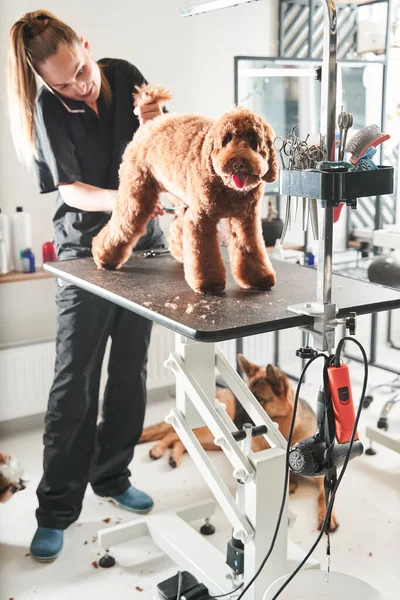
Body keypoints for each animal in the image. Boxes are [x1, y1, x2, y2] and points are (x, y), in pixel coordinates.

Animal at [91, 83, 278, 294]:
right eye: (226, 139)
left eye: (253, 140)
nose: (238, 163)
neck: (228, 189)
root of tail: (151, 123)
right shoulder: (201, 218)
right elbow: (204, 254)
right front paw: (208, 284)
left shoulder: (246, 220)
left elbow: (250, 247)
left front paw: (257, 278)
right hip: (136, 194)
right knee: (122, 225)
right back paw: (103, 257)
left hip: (178, 197)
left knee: (178, 226)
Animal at [139, 354, 340, 532]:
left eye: (259, 399)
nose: (238, 422)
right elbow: (290, 483)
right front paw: (293, 485)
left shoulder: (323, 476)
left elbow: (325, 495)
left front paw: (327, 517)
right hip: (207, 432)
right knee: (172, 434)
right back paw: (158, 449)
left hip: (212, 442)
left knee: (180, 441)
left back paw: (174, 456)